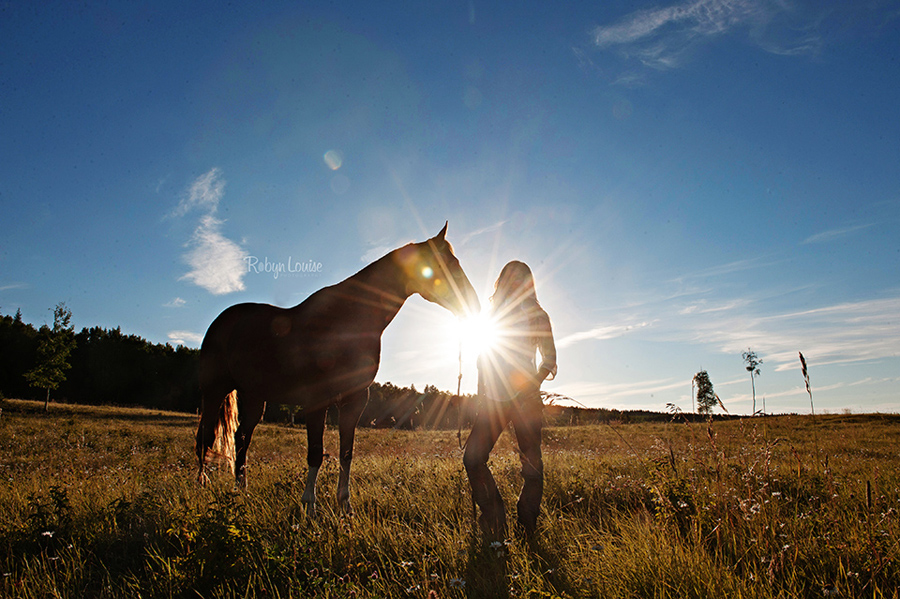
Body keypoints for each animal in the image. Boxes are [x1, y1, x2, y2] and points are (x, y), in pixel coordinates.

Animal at [194, 224, 482, 516]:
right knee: (206, 436)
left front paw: (345, 505)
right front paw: (309, 506)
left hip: (254, 397)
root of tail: (221, 321)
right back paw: (202, 485)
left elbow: (346, 452)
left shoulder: (356, 399)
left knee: (241, 438)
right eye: (445, 263)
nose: (473, 303)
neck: (344, 323)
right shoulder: (316, 400)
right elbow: (315, 452)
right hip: (214, 391)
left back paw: (241, 491)